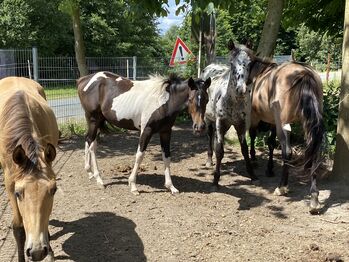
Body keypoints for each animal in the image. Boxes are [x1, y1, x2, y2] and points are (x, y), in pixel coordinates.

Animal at [77, 71, 209, 194]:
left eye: (207, 100)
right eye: (190, 99)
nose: (200, 127)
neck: (164, 101)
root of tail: (83, 80)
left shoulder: (165, 132)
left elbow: (167, 156)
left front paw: (171, 187)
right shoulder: (146, 130)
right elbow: (139, 155)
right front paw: (133, 186)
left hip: (99, 122)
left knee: (90, 142)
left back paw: (90, 173)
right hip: (93, 119)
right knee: (90, 143)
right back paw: (98, 179)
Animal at [228, 41, 324, 213]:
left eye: (247, 64)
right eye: (233, 63)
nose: (241, 89)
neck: (258, 74)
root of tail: (304, 73)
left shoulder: (256, 117)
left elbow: (253, 135)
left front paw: (254, 159)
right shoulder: (272, 121)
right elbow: (271, 143)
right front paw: (269, 168)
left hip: (283, 124)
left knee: (287, 152)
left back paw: (282, 187)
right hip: (309, 123)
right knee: (314, 151)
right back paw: (314, 198)